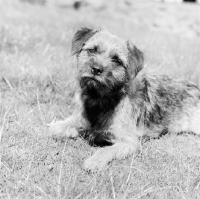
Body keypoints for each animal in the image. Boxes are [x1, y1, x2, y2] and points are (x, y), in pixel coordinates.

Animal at [49, 27, 200, 171]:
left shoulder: (129, 142)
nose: (96, 69)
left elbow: (106, 150)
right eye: (92, 50)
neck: (99, 99)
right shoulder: (78, 121)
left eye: (116, 60)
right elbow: (56, 127)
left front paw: (94, 161)